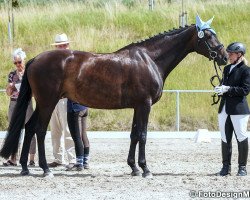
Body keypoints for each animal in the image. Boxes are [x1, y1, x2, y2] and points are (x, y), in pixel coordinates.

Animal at [0, 22, 228, 177]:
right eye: (208, 36)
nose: (224, 57)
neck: (149, 59)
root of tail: (35, 59)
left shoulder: (137, 106)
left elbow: (134, 135)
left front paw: (133, 167)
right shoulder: (145, 105)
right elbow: (143, 135)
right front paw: (145, 168)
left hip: (43, 103)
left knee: (29, 128)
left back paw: (25, 168)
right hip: (48, 102)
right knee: (39, 130)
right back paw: (46, 169)